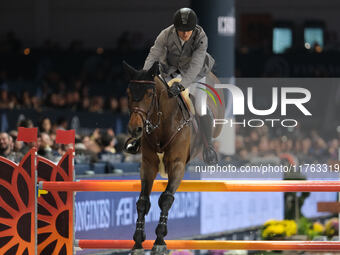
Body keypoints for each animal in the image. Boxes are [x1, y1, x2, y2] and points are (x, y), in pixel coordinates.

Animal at [123, 60, 226, 254]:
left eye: (149, 94)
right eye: (129, 93)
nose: (135, 129)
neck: (161, 123)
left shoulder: (177, 166)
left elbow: (166, 199)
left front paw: (159, 241)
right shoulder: (148, 165)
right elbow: (142, 201)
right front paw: (138, 242)